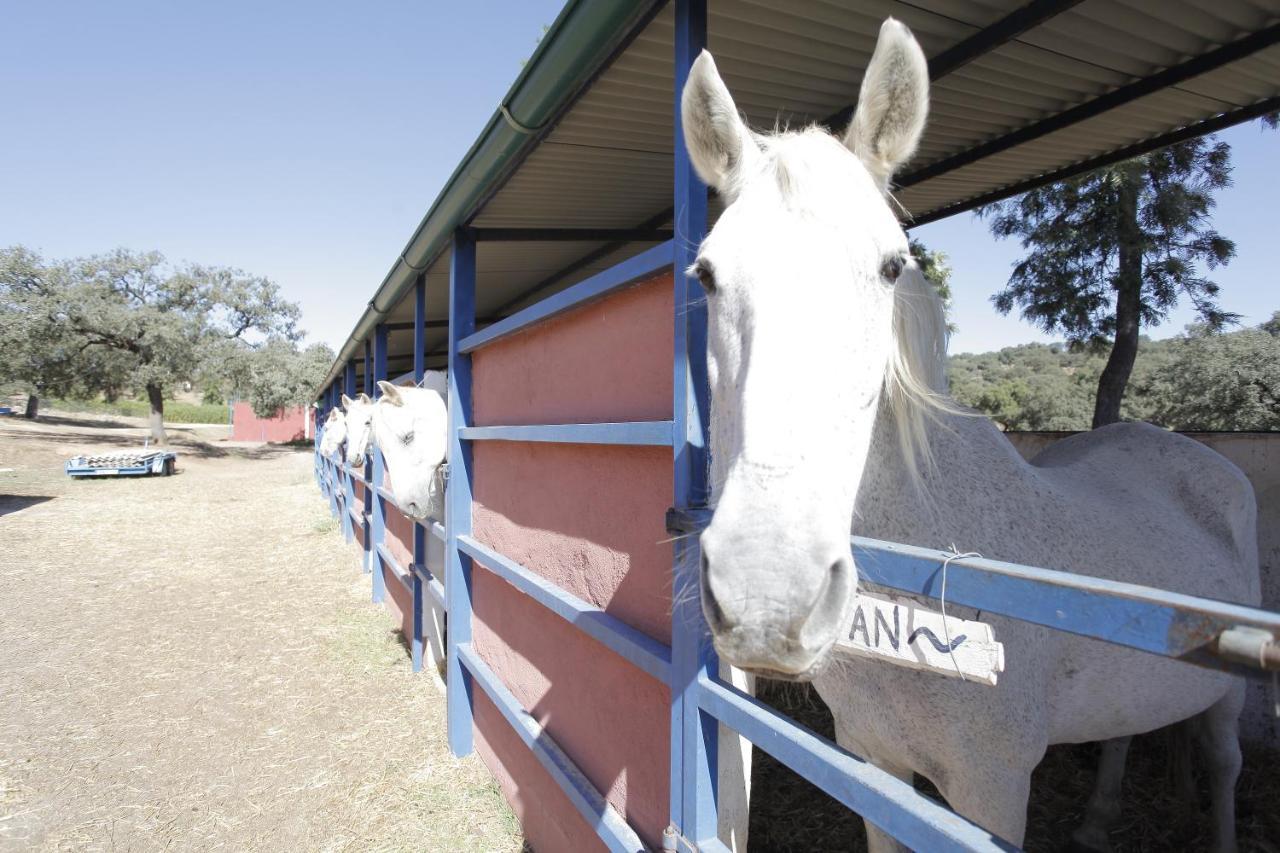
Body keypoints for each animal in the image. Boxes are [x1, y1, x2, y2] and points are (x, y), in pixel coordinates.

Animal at [680, 18, 1259, 850]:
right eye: (705, 274)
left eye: (892, 266)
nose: (767, 596)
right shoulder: (874, 764)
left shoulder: (992, 790)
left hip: (1226, 692)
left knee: (1222, 762)